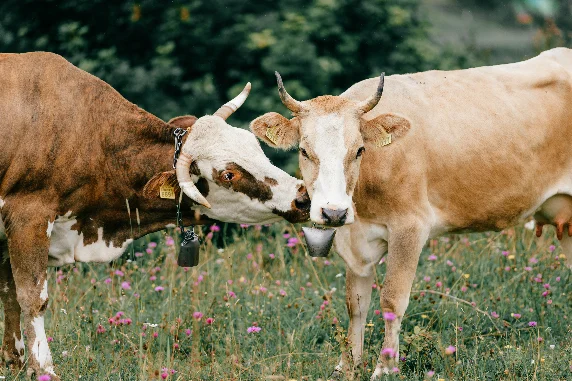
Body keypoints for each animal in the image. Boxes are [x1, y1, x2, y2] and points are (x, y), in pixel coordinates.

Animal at [0, 52, 308, 378]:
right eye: (228, 174)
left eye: (257, 149)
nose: (302, 198)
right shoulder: (28, 217)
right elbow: (32, 298)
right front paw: (43, 368)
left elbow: (9, 293)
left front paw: (14, 362)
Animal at [252, 48, 572, 380]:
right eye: (304, 151)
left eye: (359, 150)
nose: (333, 211)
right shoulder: (355, 238)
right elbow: (356, 302)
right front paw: (348, 363)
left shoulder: (410, 227)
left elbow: (392, 299)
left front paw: (385, 367)